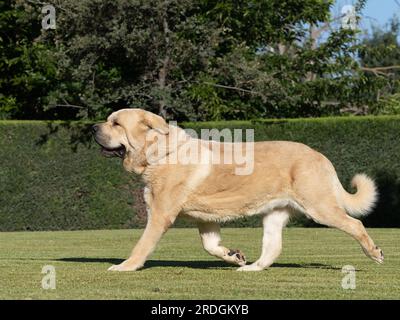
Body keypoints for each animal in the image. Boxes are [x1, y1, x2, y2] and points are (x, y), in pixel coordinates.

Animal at [92, 109, 382, 272]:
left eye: (116, 123)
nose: (92, 127)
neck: (160, 154)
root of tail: (320, 155)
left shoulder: (160, 215)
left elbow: (141, 246)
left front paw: (125, 267)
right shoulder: (205, 219)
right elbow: (210, 246)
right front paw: (234, 256)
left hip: (319, 208)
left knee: (355, 224)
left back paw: (374, 253)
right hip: (274, 215)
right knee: (272, 248)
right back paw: (251, 269)